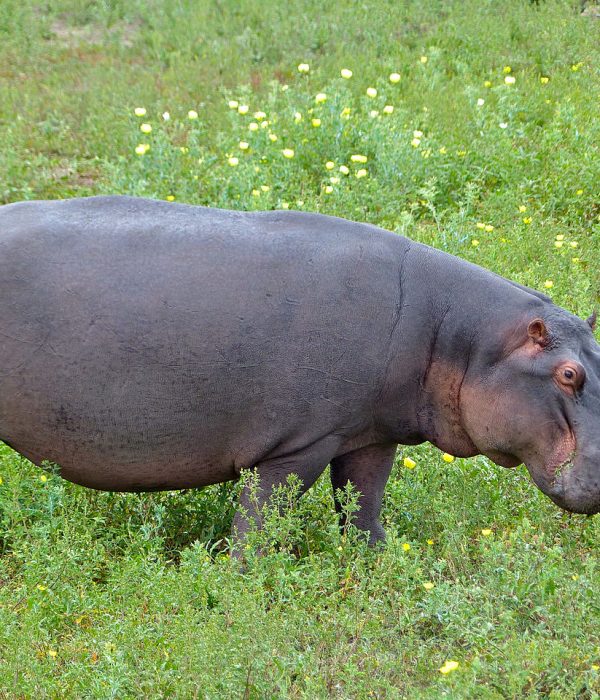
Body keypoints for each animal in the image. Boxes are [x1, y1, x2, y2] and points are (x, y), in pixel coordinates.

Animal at [0, 197, 596, 540]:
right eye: (568, 374)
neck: (459, 336)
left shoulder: (370, 435)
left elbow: (362, 509)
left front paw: (374, 568)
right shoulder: (298, 444)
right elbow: (258, 528)